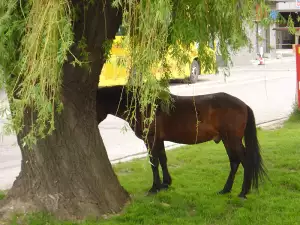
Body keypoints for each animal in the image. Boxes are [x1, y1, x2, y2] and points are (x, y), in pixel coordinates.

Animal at [96, 84, 268, 199]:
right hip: (227, 140)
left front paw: (154, 188)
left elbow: (154, 163)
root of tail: (244, 105)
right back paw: (225, 190)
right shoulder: (159, 140)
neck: (143, 104)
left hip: (232, 139)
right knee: (234, 162)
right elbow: (163, 160)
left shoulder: (151, 139)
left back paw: (243, 192)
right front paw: (166, 184)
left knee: (245, 161)